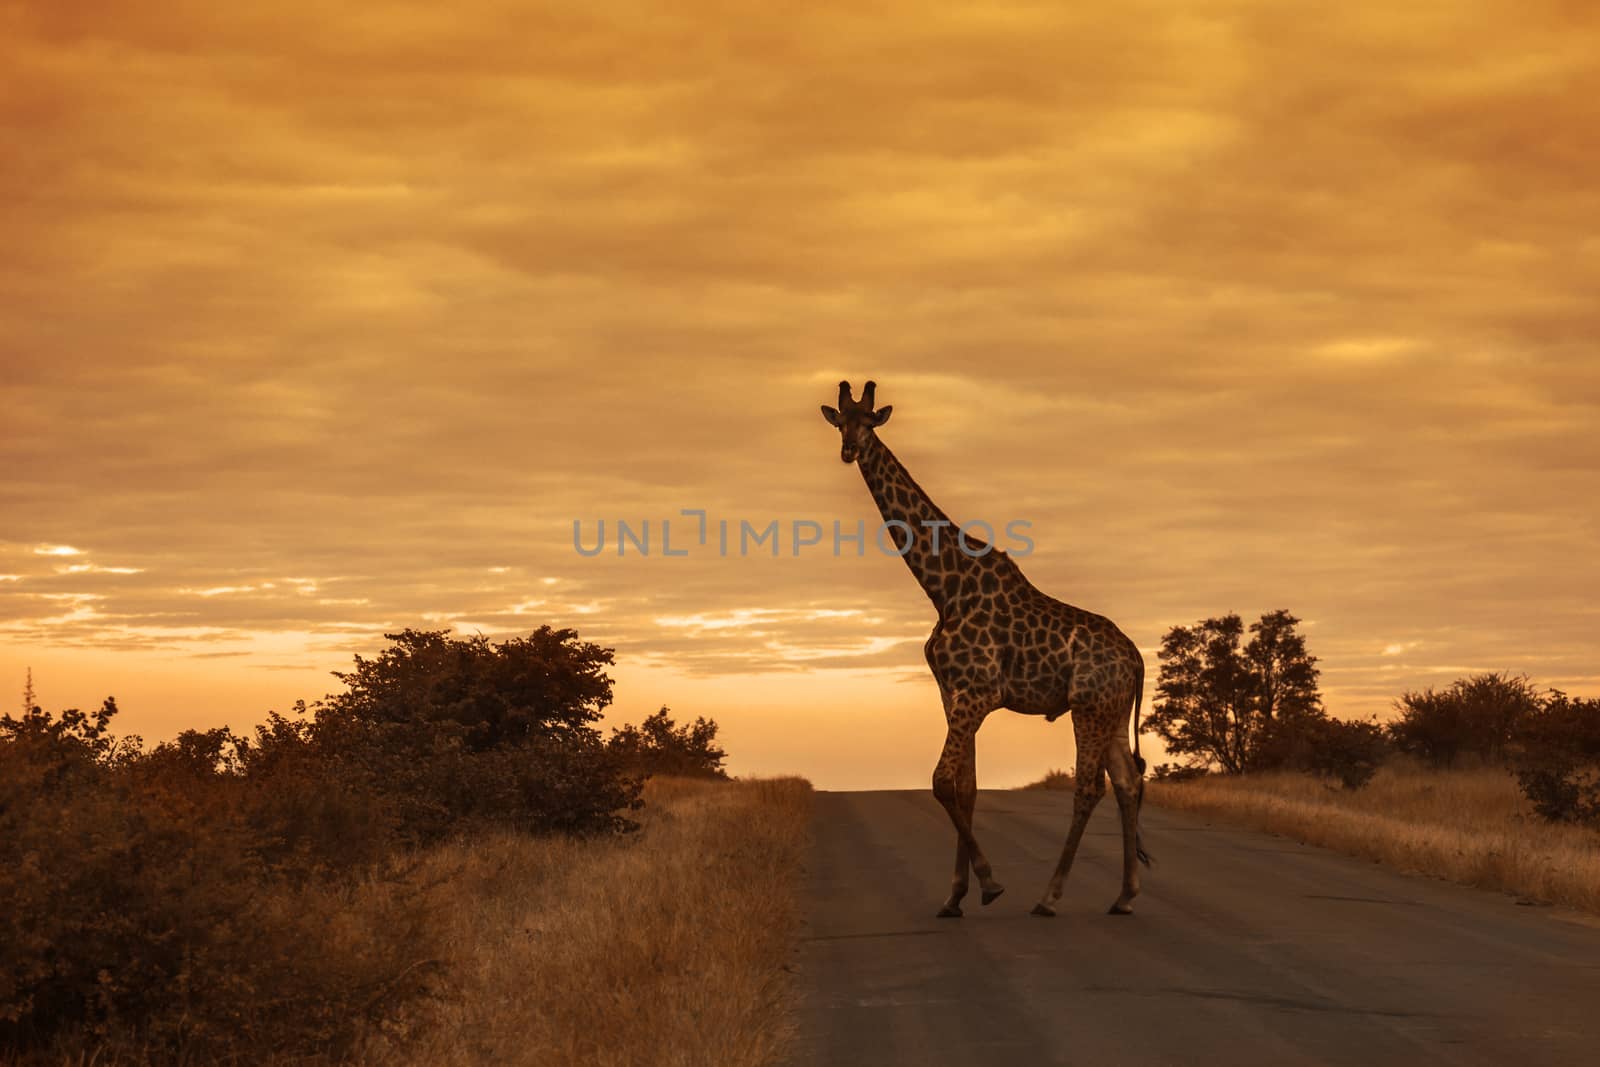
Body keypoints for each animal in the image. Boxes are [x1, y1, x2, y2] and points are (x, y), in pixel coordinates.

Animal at [825, 382, 1152, 921]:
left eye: (869, 422)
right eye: (840, 422)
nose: (850, 450)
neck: (944, 588)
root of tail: (1137, 659)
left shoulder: (977, 694)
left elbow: (941, 781)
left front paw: (990, 884)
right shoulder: (953, 693)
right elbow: (966, 788)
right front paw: (955, 896)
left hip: (1088, 707)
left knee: (1089, 788)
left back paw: (1049, 897)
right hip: (1113, 711)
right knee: (1128, 784)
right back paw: (1124, 896)